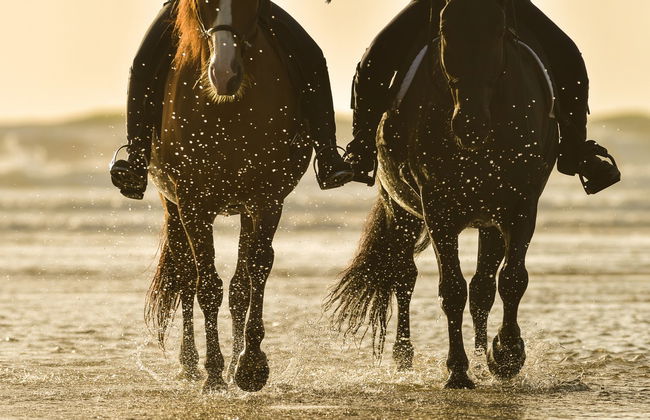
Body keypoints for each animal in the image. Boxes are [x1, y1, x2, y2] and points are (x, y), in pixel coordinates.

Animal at [144, 0, 312, 393]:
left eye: (250, 4)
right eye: (201, 4)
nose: (224, 74)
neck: (229, 110)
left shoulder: (266, 201)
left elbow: (254, 274)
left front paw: (249, 365)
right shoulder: (193, 203)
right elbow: (205, 285)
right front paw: (215, 373)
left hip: (243, 211)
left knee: (238, 286)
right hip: (173, 207)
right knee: (184, 277)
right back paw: (191, 364)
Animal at [326, 0, 559, 389]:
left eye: (499, 30)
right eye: (446, 29)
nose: (469, 125)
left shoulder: (520, 206)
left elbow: (511, 280)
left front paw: (506, 354)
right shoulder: (438, 210)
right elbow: (451, 289)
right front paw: (458, 370)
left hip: (488, 222)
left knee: (482, 288)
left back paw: (482, 355)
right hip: (402, 210)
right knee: (404, 276)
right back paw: (404, 356)